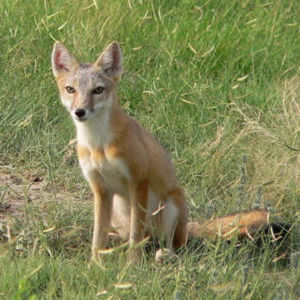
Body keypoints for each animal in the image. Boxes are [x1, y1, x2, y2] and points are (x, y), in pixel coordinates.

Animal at [51, 41, 188, 262]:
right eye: (70, 89)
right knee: (130, 235)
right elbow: (98, 236)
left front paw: (132, 265)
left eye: (98, 90)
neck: (99, 145)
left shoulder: (138, 182)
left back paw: (165, 254)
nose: (79, 112)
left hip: (171, 207)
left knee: (171, 244)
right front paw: (95, 264)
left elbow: (135, 235)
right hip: (116, 207)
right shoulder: (100, 189)